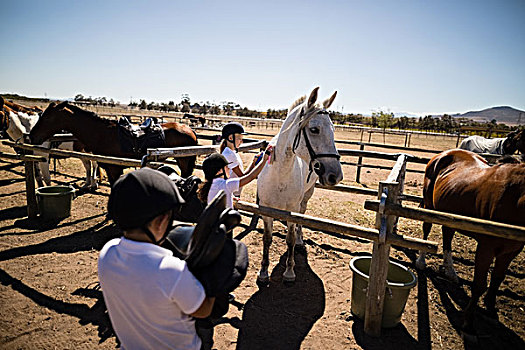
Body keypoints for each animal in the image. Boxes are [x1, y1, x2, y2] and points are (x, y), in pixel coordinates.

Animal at [30, 101, 199, 185]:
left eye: (47, 117)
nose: (32, 136)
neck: (101, 133)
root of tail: (189, 129)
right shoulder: (110, 167)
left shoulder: (114, 168)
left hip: (184, 162)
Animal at [255, 88, 344, 284]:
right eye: (314, 129)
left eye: (334, 130)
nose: (336, 176)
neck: (280, 174)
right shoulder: (266, 210)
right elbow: (267, 238)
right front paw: (263, 272)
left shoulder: (292, 210)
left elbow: (289, 239)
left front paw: (289, 271)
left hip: (306, 196)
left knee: (302, 216)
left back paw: (300, 240)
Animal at [416, 148, 520, 334]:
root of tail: (443, 154)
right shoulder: (486, 246)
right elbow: (479, 284)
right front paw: (468, 323)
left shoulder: (513, 250)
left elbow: (497, 278)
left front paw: (490, 309)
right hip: (429, 204)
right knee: (427, 228)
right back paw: (421, 262)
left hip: (449, 214)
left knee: (447, 236)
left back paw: (450, 272)